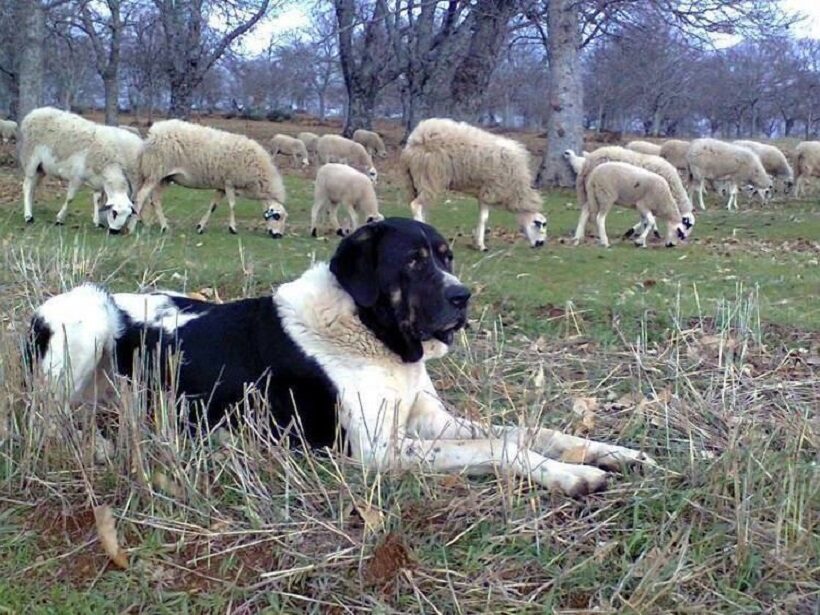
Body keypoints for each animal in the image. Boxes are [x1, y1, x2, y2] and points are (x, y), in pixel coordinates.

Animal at [28, 217, 652, 496]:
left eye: (447, 256)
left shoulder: (429, 421)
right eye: (413, 262)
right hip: (86, 319)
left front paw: (609, 451)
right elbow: (500, 447)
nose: (463, 297)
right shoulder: (375, 452)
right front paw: (571, 475)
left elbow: (528, 430)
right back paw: (101, 446)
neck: (371, 336)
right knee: (51, 424)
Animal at [118, 119, 288, 238]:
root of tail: (152, 133)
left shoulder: (221, 185)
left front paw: (200, 227)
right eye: (277, 216)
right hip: (155, 172)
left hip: (165, 177)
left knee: (155, 200)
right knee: (141, 197)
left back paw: (164, 226)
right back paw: (131, 228)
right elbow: (232, 205)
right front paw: (232, 228)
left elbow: (213, 206)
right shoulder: (230, 182)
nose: (278, 236)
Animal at [402, 116, 548, 251]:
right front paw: (482, 246)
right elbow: (484, 218)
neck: (516, 190)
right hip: (429, 177)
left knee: (422, 207)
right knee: (416, 205)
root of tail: (416, 136)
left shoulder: (483, 192)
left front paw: (477, 243)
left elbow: (481, 218)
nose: (540, 244)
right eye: (539, 224)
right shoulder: (491, 190)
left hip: (414, 181)